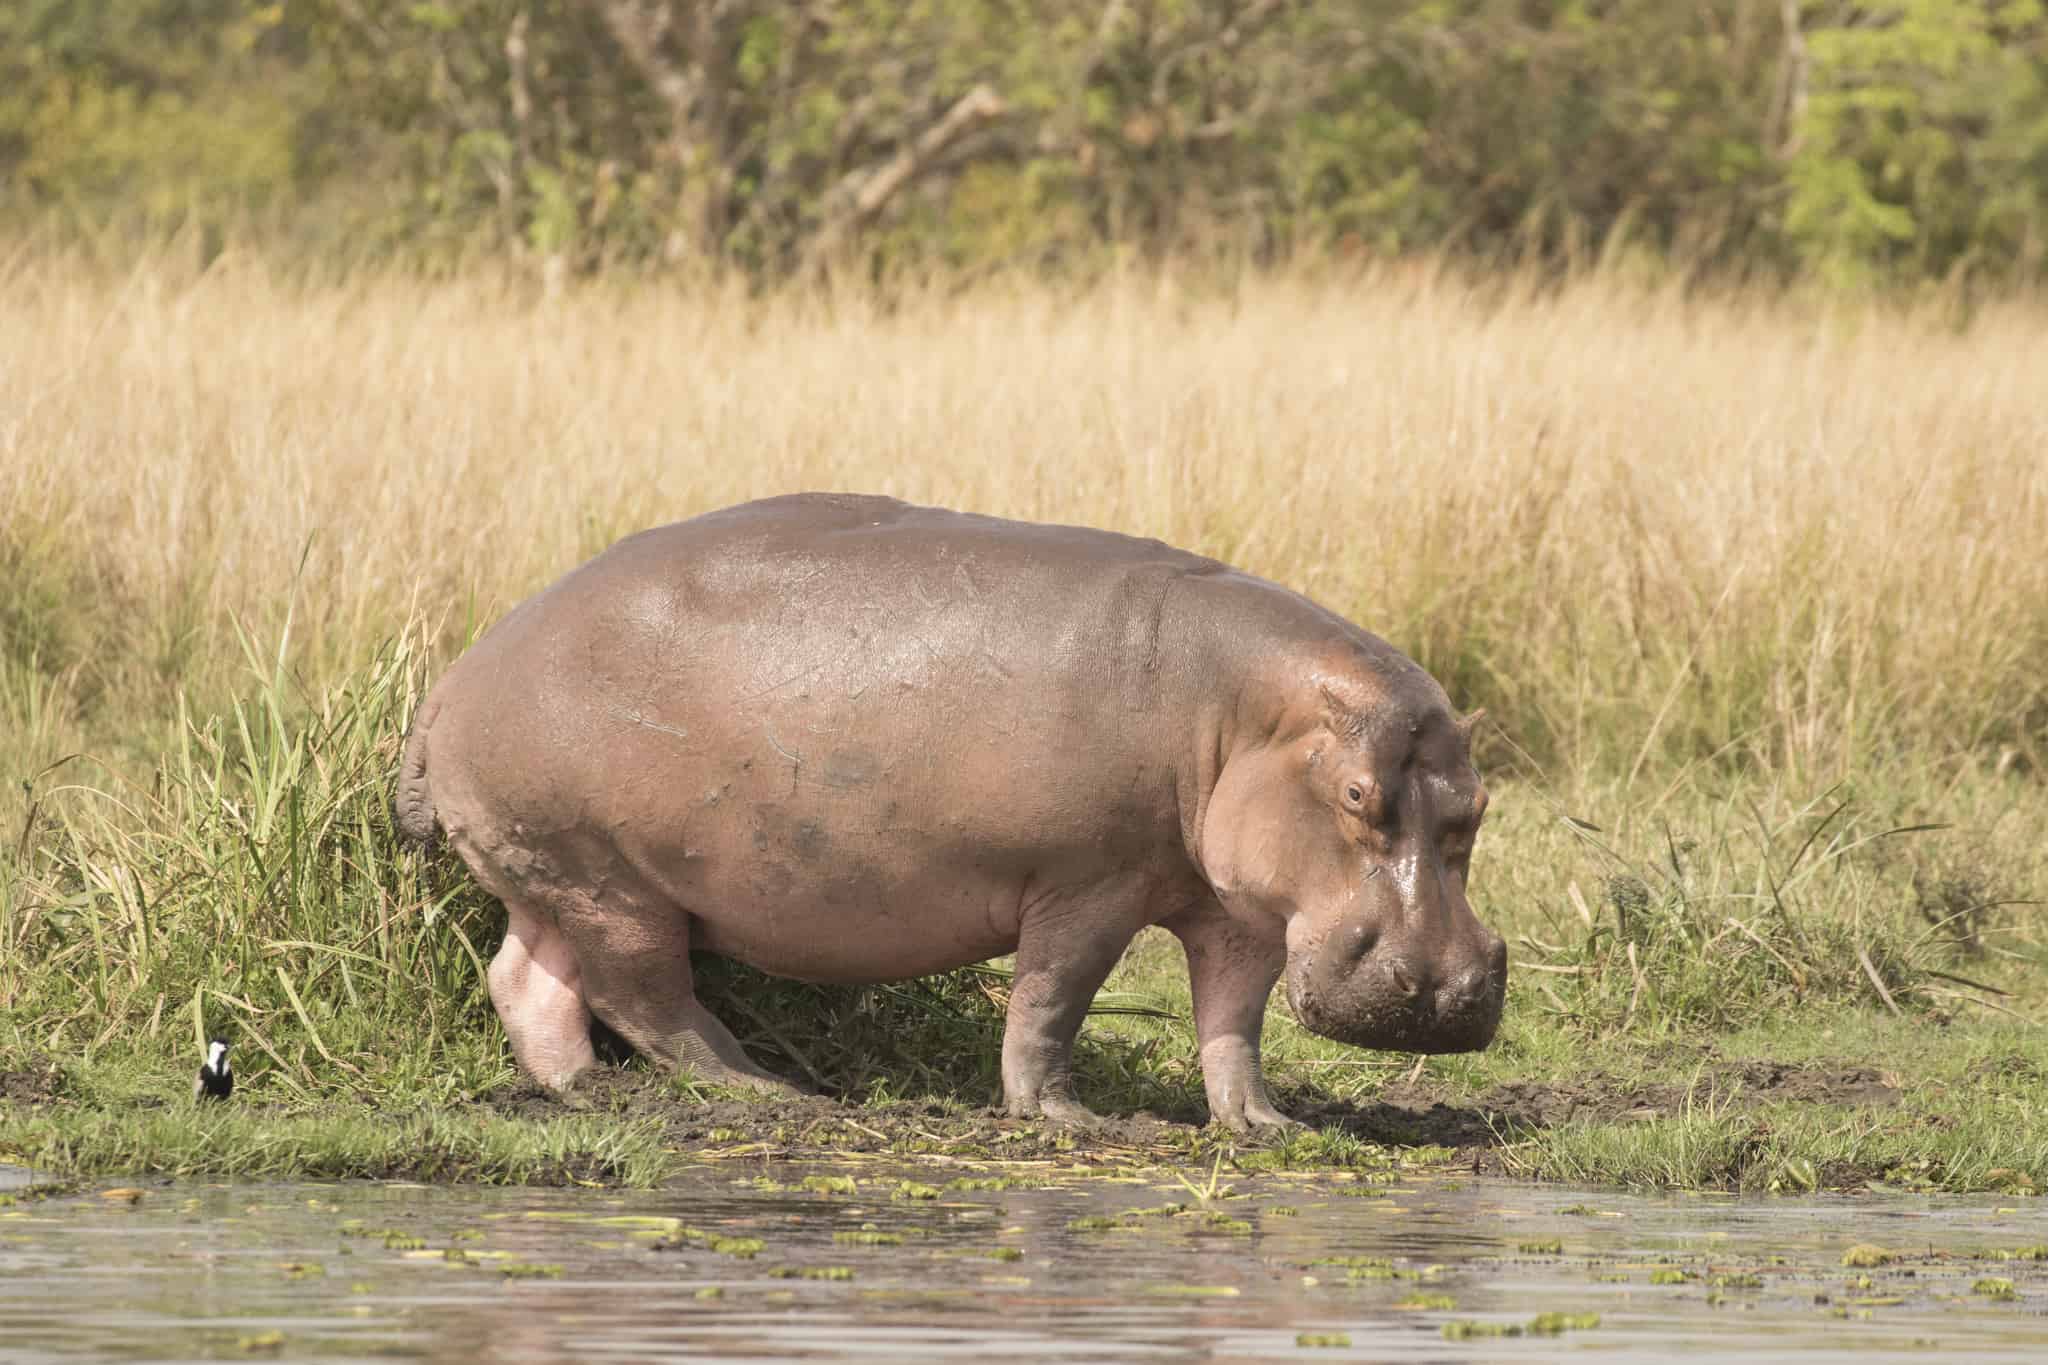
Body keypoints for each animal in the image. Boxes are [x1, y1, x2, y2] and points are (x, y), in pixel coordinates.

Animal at [395, 493, 1505, 1129]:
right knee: (646, 997)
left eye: (1478, 806)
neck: (1239, 710)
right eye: (1356, 795)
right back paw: (771, 1093)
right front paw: (1066, 1120)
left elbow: (1232, 1021)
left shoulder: (1236, 908)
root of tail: (453, 681)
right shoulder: (1086, 881)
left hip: (548, 868)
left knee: (527, 980)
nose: (1446, 991)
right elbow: (1051, 999)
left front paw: (1265, 1125)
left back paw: (583, 1092)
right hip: (613, 880)